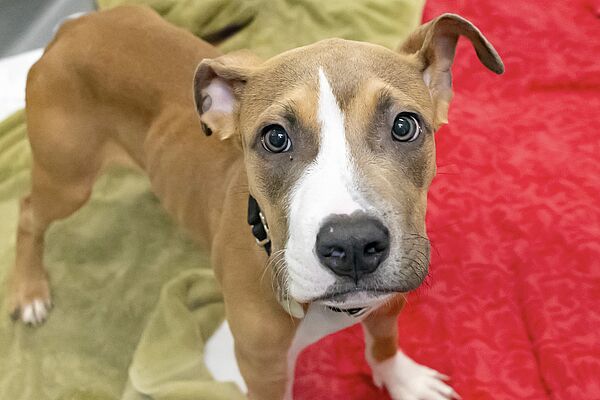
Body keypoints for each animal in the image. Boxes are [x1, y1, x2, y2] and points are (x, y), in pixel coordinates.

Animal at [8, 6, 503, 399]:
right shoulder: (262, 367)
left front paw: (403, 381)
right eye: (275, 138)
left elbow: (384, 345)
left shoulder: (388, 305)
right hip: (68, 178)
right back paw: (29, 291)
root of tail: (72, 28)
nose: (353, 245)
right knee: (29, 212)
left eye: (405, 126)